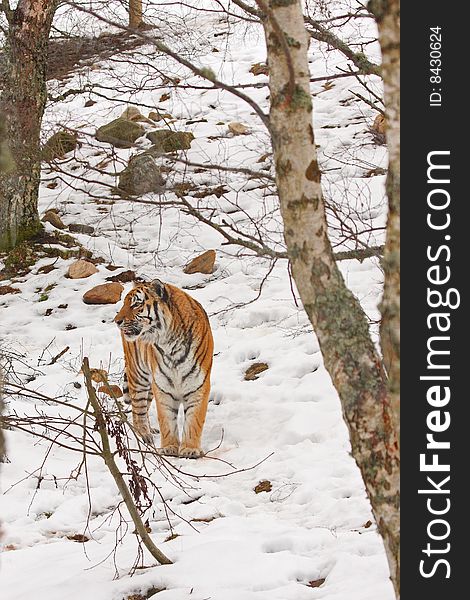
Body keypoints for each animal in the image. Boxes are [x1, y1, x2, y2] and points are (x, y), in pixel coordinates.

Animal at [114, 278, 214, 458]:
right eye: (124, 303)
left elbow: (194, 420)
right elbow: (167, 420)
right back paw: (144, 435)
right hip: (139, 375)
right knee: (138, 410)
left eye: (136, 304)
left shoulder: (198, 386)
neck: (170, 344)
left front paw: (189, 449)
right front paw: (169, 448)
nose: (117, 321)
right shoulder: (163, 388)